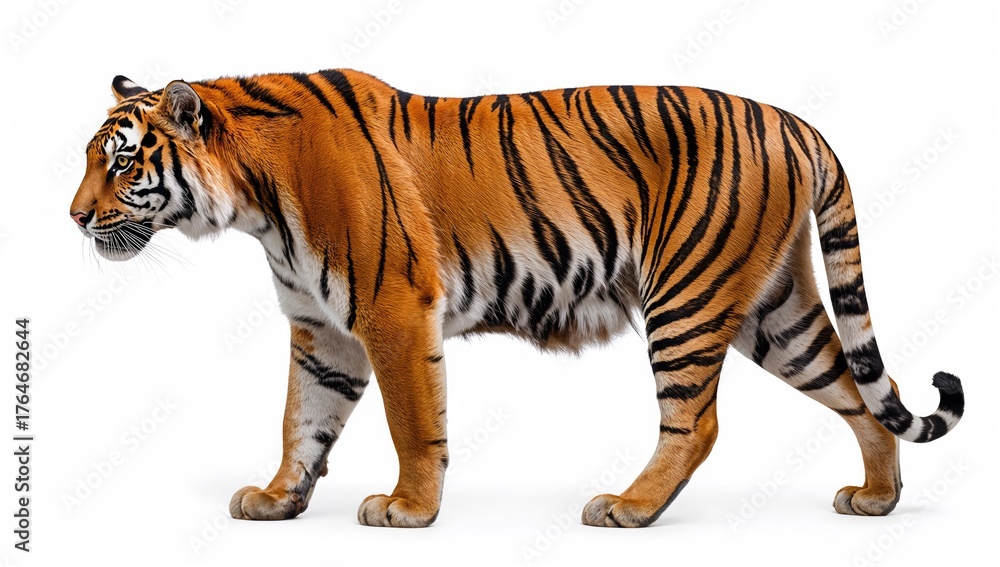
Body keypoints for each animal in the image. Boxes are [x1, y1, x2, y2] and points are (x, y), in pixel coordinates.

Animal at [69, 69, 964, 528]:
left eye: (121, 162)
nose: (73, 216)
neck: (254, 199)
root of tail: (792, 121)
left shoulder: (393, 310)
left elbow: (411, 420)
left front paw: (408, 508)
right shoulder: (322, 330)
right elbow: (302, 417)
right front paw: (278, 497)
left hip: (689, 292)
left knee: (698, 420)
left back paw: (628, 507)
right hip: (777, 311)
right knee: (861, 388)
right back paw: (877, 497)